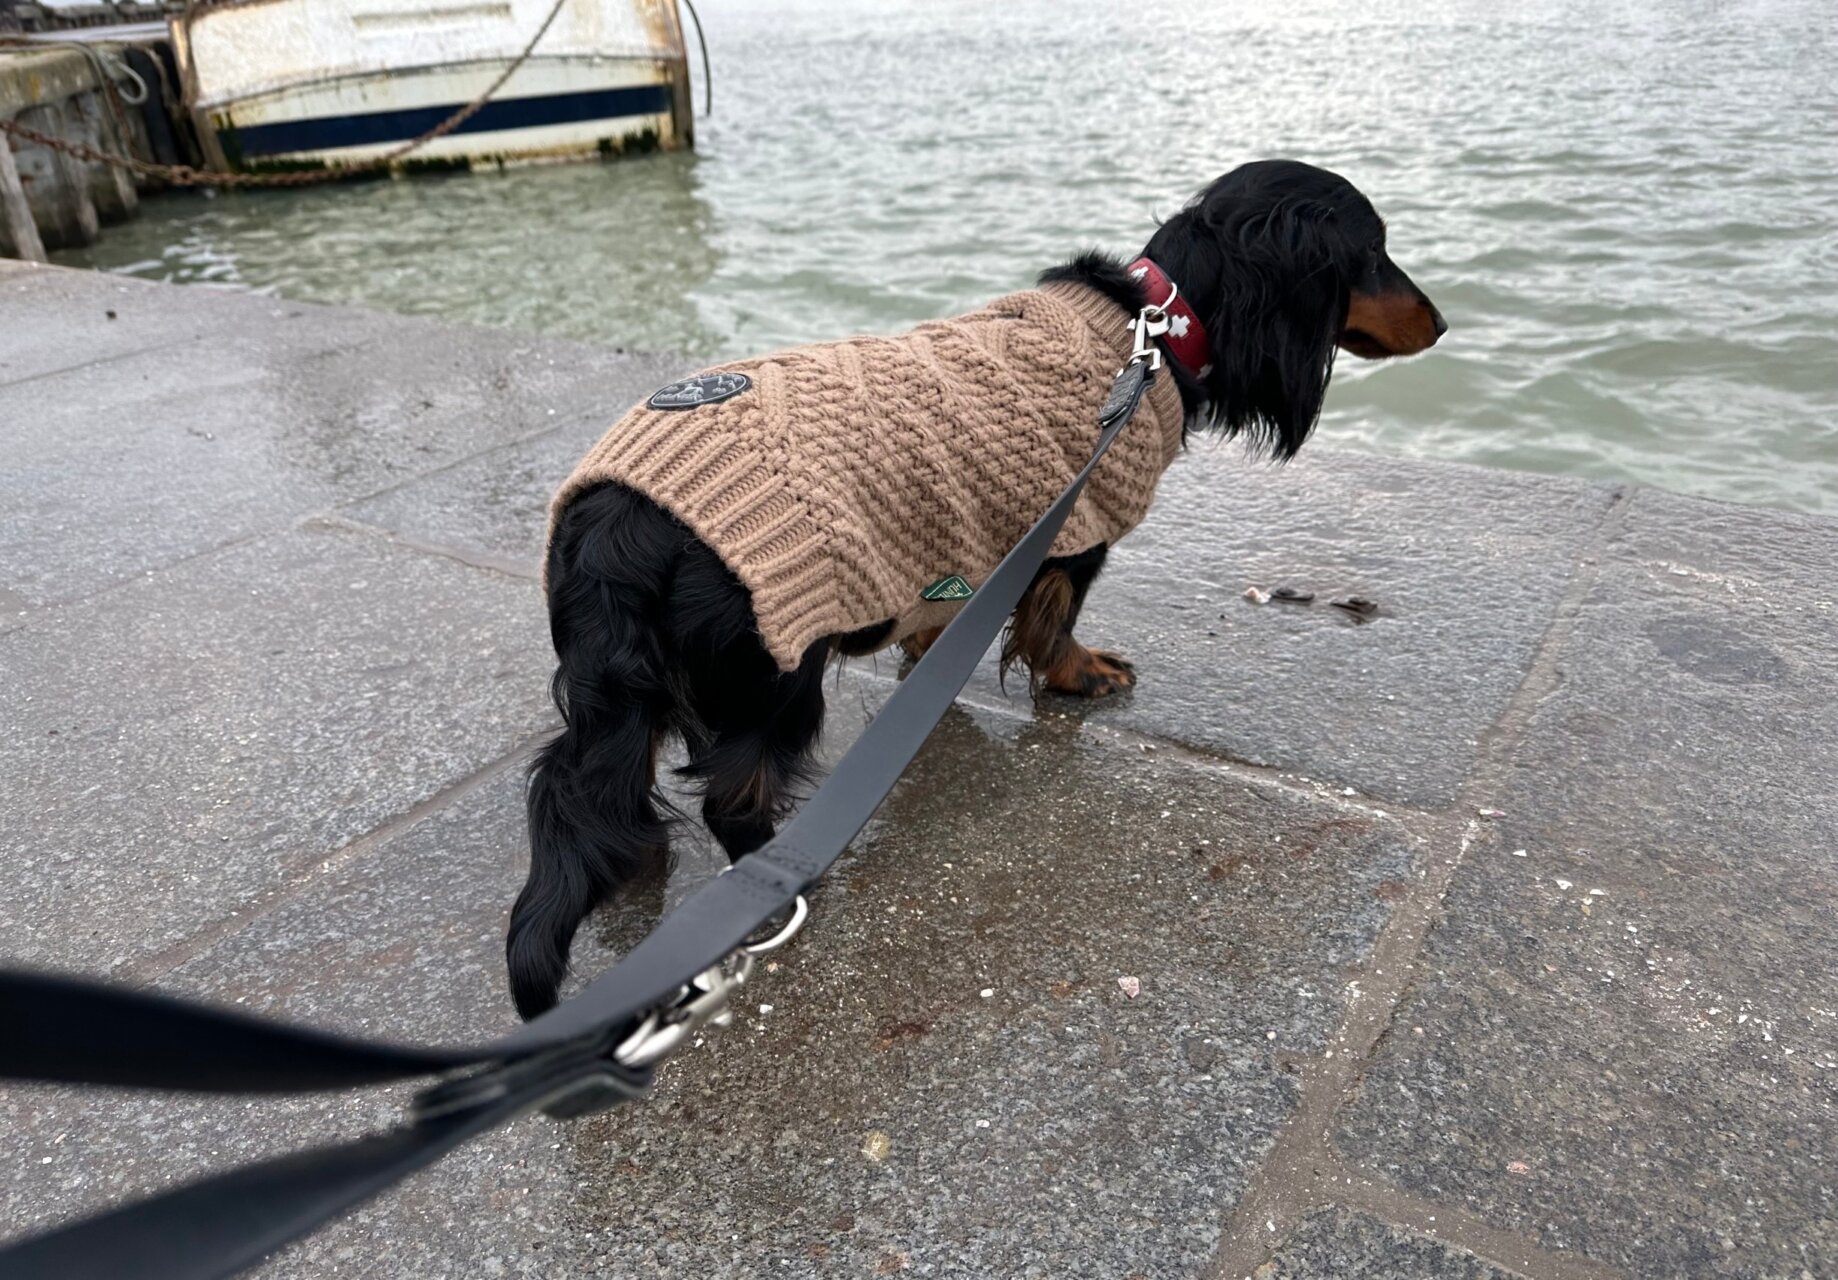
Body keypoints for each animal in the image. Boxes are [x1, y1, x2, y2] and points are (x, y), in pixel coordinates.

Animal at [510, 162, 1440, 1022]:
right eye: (1374, 250)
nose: (1441, 322)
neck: (1151, 332)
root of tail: (612, 519)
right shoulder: (1074, 529)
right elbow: (1056, 621)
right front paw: (1080, 676)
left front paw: (932, 656)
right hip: (779, 672)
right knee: (732, 798)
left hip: (634, 687)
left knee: (585, 787)